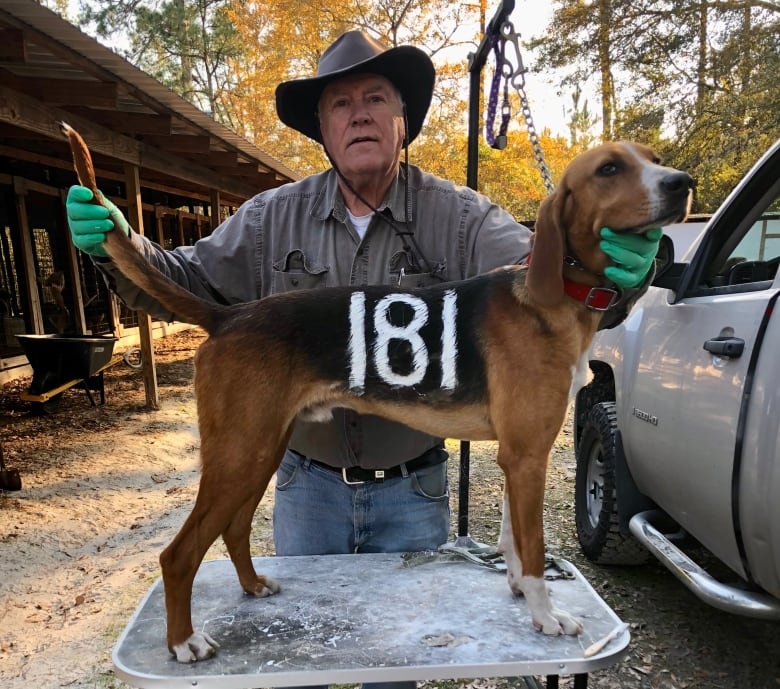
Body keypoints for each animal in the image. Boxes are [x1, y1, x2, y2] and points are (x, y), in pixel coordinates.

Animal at [62, 123, 696, 660]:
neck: (553, 297)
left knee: (235, 530)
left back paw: (252, 586)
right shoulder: (527, 457)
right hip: (240, 454)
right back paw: (183, 642)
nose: (683, 184)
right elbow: (535, 549)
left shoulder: (520, 458)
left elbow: (515, 543)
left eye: (653, 160)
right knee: (178, 555)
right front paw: (545, 616)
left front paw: (519, 591)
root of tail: (229, 315)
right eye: (609, 169)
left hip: (258, 451)